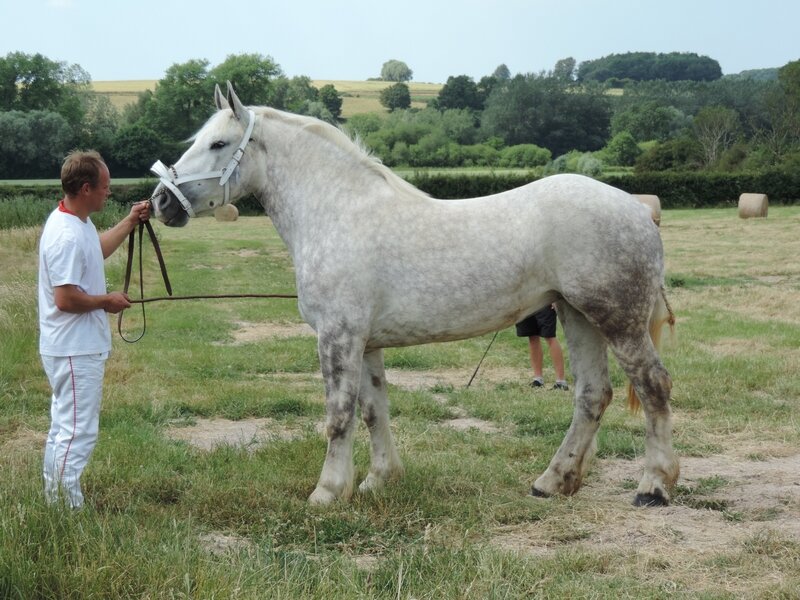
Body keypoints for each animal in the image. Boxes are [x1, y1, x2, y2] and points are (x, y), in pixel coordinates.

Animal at [152, 82, 680, 508]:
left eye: (218, 143)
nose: (160, 202)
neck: (338, 211)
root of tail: (638, 209)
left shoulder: (338, 337)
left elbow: (338, 415)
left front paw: (327, 492)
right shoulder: (366, 343)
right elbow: (372, 410)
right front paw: (378, 480)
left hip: (618, 319)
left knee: (652, 385)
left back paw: (654, 486)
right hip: (577, 314)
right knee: (592, 394)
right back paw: (553, 481)